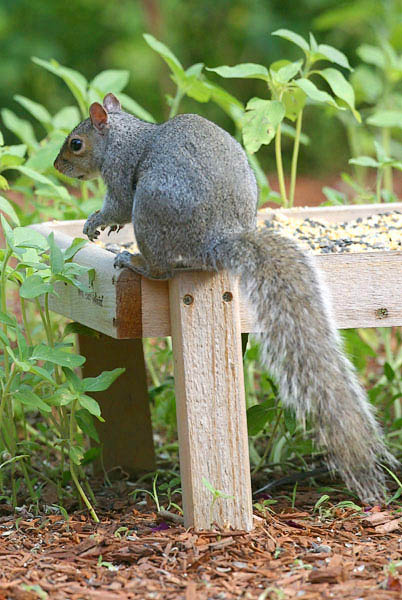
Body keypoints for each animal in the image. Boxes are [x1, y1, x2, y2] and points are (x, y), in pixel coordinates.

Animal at [54, 92, 396, 502]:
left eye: (76, 143)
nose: (57, 166)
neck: (123, 135)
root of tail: (218, 242)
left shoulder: (120, 173)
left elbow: (117, 205)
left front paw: (95, 221)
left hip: (151, 212)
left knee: (162, 269)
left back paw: (134, 262)